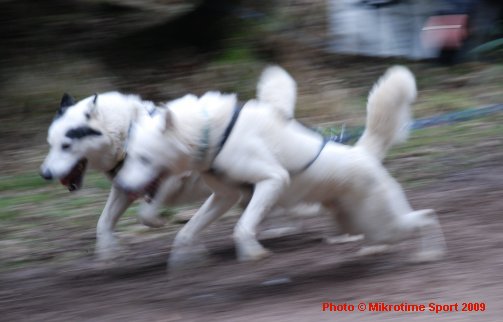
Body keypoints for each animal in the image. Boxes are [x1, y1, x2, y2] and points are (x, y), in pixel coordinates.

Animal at [39, 92, 211, 260]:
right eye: (50, 144)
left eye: (66, 146)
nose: (44, 174)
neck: (126, 137)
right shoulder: (123, 189)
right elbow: (103, 222)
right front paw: (108, 253)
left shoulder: (171, 178)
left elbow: (145, 214)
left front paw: (161, 221)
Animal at [116, 65, 446, 266]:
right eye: (130, 155)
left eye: (144, 157)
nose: (121, 184)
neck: (215, 134)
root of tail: (363, 152)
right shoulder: (225, 196)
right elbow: (186, 233)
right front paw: (183, 262)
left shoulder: (272, 180)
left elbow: (242, 227)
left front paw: (252, 254)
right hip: (360, 221)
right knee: (385, 233)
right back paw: (373, 249)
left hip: (381, 220)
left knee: (427, 216)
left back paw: (430, 254)